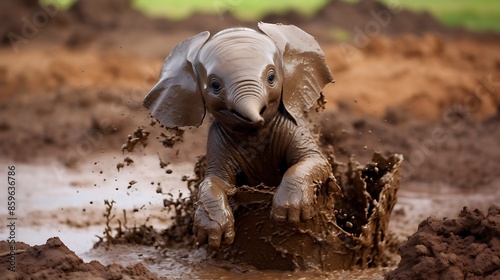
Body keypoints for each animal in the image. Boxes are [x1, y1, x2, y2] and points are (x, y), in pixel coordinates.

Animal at [143, 23, 334, 248]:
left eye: (271, 78)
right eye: (215, 86)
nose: (258, 120)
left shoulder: (293, 125)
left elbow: (314, 160)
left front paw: (286, 213)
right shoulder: (217, 139)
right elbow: (214, 181)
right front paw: (213, 232)